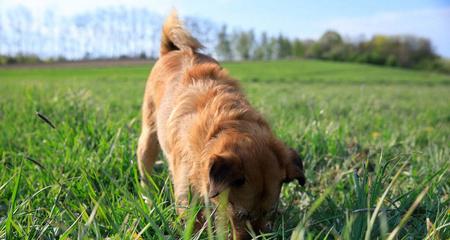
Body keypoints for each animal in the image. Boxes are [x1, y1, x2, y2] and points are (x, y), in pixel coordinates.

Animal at [137, 10, 306, 238]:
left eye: (270, 212)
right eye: (241, 216)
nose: (258, 237)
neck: (228, 123)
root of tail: (171, 51)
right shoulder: (185, 195)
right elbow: (193, 223)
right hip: (148, 138)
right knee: (145, 173)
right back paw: (148, 199)